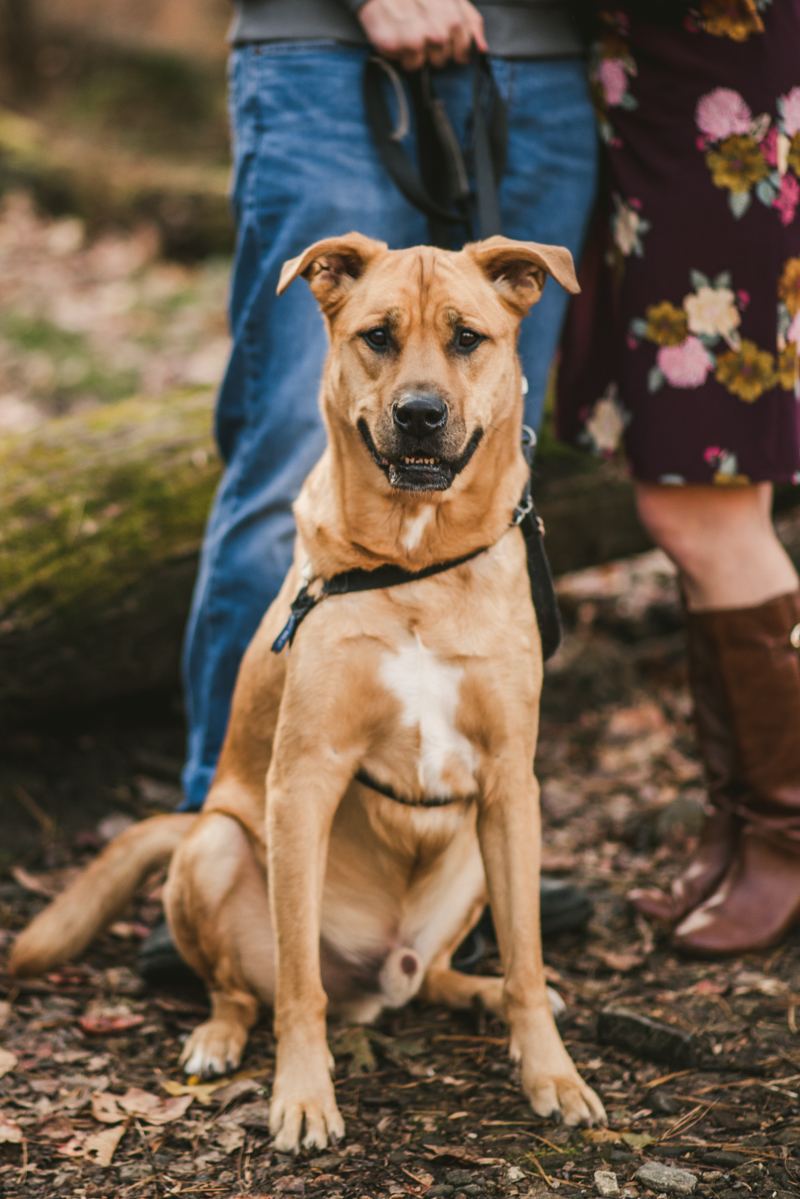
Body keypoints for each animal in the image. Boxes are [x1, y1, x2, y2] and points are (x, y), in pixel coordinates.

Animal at [10, 233, 599, 1151]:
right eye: (377, 336)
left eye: (468, 338)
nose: (421, 414)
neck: (416, 563)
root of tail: (382, 972)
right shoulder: (303, 779)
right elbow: (297, 985)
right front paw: (303, 1095)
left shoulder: (510, 782)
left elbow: (529, 961)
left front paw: (552, 1073)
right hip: (215, 845)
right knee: (244, 986)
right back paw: (217, 1037)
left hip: (478, 849)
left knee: (441, 971)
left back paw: (474, 992)